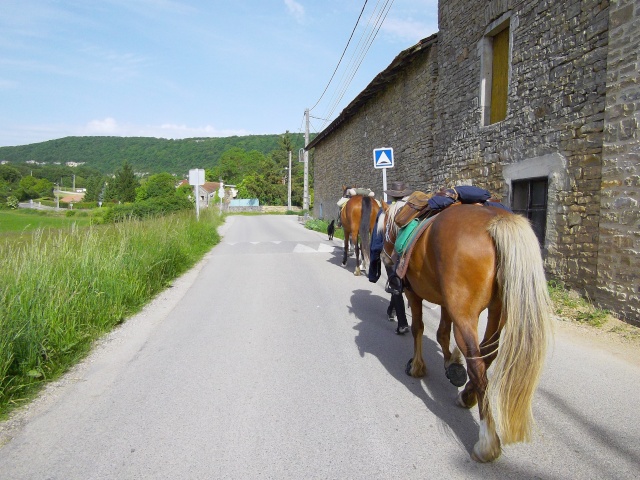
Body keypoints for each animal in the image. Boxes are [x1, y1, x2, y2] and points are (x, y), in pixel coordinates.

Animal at [378, 200, 552, 462]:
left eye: (385, 230)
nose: (384, 257)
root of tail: (496, 220)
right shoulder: (446, 302)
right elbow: (441, 332)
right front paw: (452, 364)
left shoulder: (413, 294)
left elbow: (419, 328)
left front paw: (418, 366)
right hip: (497, 311)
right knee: (488, 353)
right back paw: (467, 395)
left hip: (465, 313)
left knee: (478, 364)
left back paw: (487, 442)